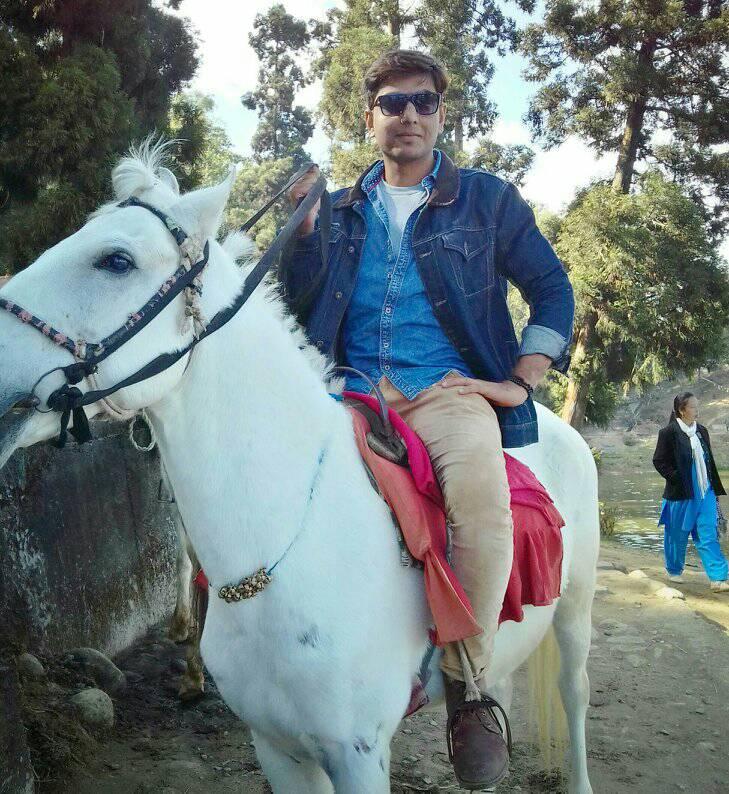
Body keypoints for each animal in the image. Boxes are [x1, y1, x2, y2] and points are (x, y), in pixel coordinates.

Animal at [0, 142, 599, 793]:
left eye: (116, 260)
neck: (280, 552)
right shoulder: (277, 748)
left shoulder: (359, 754)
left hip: (575, 609)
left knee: (574, 692)